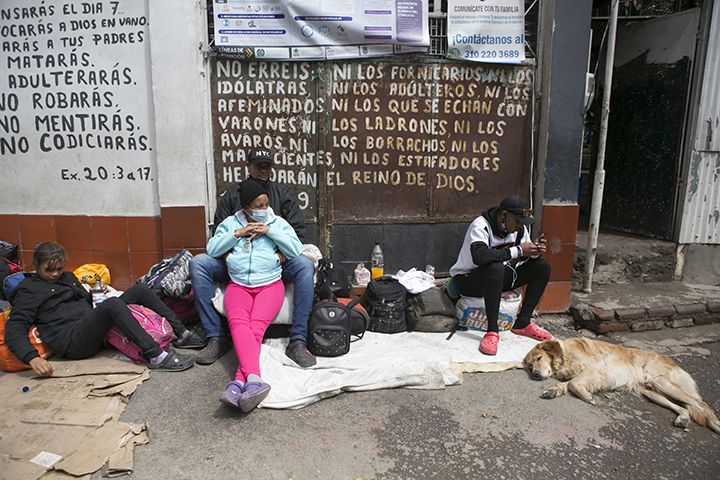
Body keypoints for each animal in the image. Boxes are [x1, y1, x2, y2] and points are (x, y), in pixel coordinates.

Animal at [524, 338, 720, 436]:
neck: (564, 354)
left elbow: (573, 384)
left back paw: (716, 425)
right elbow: (566, 384)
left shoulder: (597, 371)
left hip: (661, 382)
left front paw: (588, 397)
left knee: (701, 405)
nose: (535, 374)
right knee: (685, 407)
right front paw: (554, 390)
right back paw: (683, 419)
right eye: (529, 365)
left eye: (539, 358)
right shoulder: (589, 374)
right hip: (652, 392)